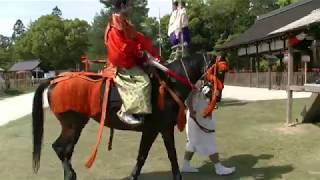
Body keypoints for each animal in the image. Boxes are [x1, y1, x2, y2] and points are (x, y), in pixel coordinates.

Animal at [31, 53, 212, 180]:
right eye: (217, 71)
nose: (213, 98)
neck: (168, 86)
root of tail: (55, 79)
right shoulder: (153, 129)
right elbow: (144, 155)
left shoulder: (164, 128)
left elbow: (169, 154)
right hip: (72, 125)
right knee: (61, 148)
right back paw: (69, 175)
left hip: (74, 125)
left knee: (64, 149)